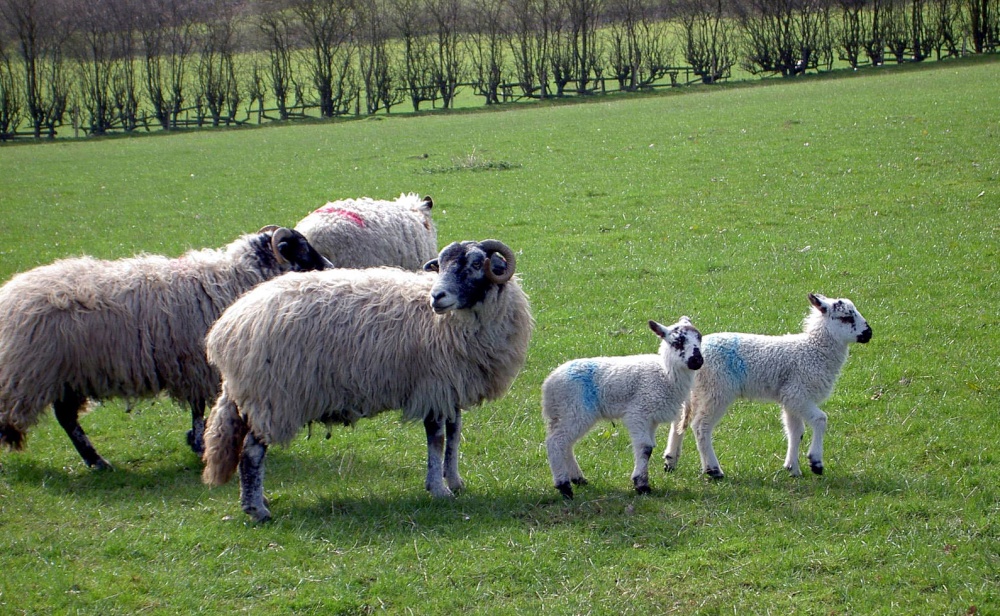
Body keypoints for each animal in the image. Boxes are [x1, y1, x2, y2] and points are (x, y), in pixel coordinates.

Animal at [0, 229, 334, 470]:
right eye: (302, 249)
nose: (332, 267)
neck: (233, 277)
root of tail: (10, 293)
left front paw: (196, 440)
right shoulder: (197, 363)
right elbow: (198, 408)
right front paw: (199, 441)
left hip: (65, 376)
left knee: (66, 418)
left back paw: (96, 461)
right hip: (30, 375)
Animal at [198, 238, 536, 524]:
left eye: (477, 263)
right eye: (439, 265)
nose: (436, 297)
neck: (448, 322)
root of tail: (228, 327)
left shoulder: (450, 388)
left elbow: (454, 436)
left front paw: (454, 481)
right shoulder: (432, 386)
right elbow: (437, 439)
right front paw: (438, 489)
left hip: (255, 395)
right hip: (272, 397)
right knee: (252, 453)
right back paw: (258, 510)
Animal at [540, 316, 704, 498]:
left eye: (700, 338)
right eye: (677, 342)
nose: (697, 361)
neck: (664, 373)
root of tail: (548, 385)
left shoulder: (651, 418)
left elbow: (649, 447)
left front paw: (641, 481)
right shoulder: (638, 412)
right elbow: (645, 447)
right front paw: (642, 485)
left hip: (566, 413)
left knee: (565, 443)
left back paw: (578, 479)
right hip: (574, 408)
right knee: (556, 442)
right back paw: (564, 486)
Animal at [664, 292, 876, 476]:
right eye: (846, 317)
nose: (869, 333)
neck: (813, 349)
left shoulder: (790, 399)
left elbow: (795, 432)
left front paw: (793, 468)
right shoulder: (797, 393)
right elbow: (820, 419)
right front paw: (815, 462)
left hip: (696, 390)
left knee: (680, 421)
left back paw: (670, 460)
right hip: (717, 389)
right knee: (701, 426)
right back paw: (713, 470)